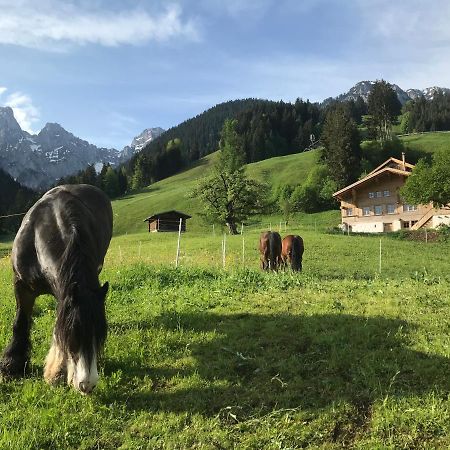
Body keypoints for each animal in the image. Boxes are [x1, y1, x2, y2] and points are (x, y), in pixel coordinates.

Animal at [0, 184, 112, 394]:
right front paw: (12, 365)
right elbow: (20, 322)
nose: (87, 385)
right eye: (74, 335)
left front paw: (56, 371)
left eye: (100, 336)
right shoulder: (22, 286)